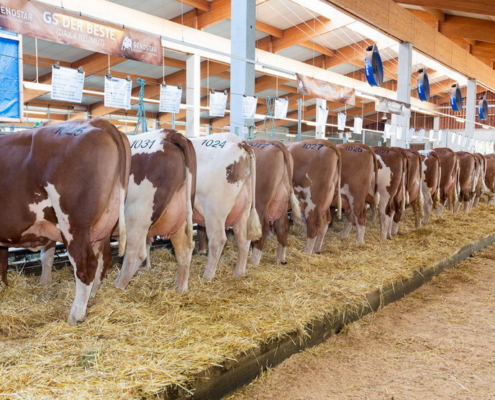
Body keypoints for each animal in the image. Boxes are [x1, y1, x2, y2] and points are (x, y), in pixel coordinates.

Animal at [0, 119, 130, 324]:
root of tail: (94, 122)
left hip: (74, 224)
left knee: (86, 264)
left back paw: (76, 316)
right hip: (104, 223)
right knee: (103, 259)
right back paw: (92, 298)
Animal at [191, 133, 262, 280]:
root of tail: (240, 142)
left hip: (214, 210)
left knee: (217, 240)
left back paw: (207, 276)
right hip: (244, 207)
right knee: (243, 239)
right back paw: (238, 273)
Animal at [248, 139, 302, 268]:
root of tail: (273, 143)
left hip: (260, 201)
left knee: (262, 228)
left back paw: (254, 261)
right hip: (282, 199)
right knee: (283, 227)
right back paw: (281, 259)